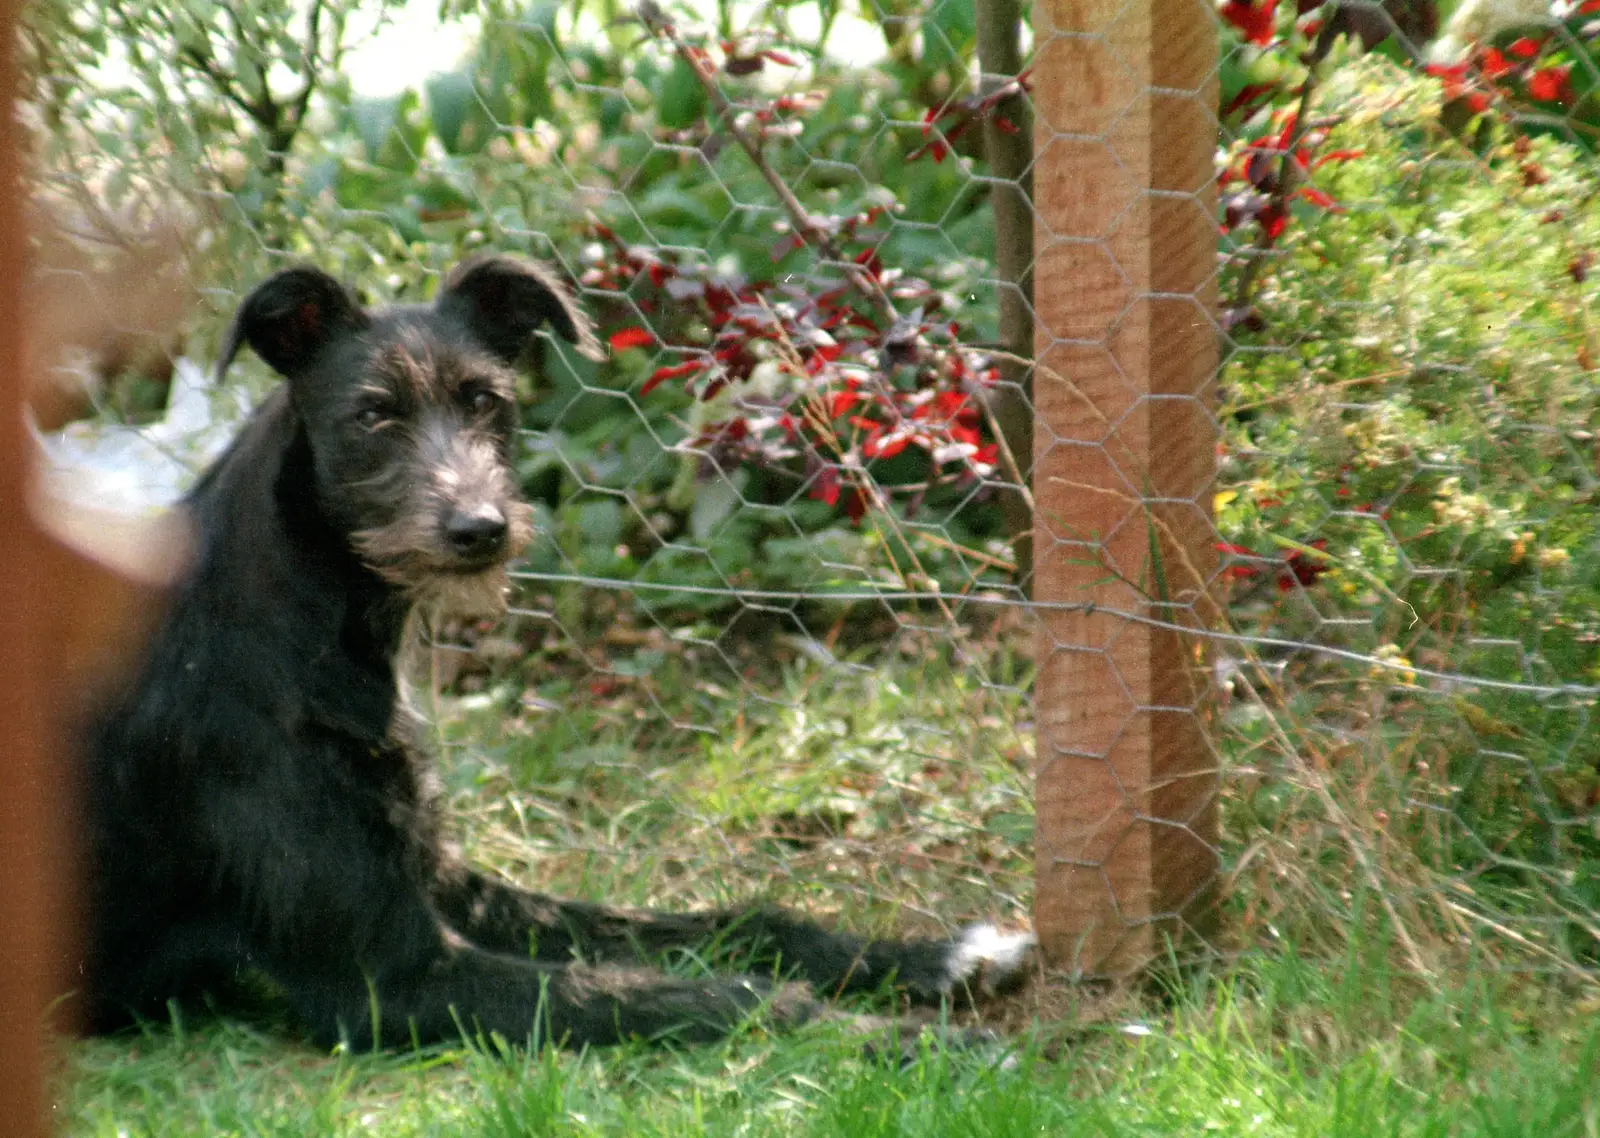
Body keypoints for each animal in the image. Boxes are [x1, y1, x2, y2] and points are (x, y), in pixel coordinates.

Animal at [78, 256, 1024, 1049]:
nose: (480, 529)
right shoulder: (389, 979)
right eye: (373, 413)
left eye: (485, 400)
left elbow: (722, 925)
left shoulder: (445, 880)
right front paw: (903, 1040)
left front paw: (931, 956)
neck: (295, 613)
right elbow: (709, 995)